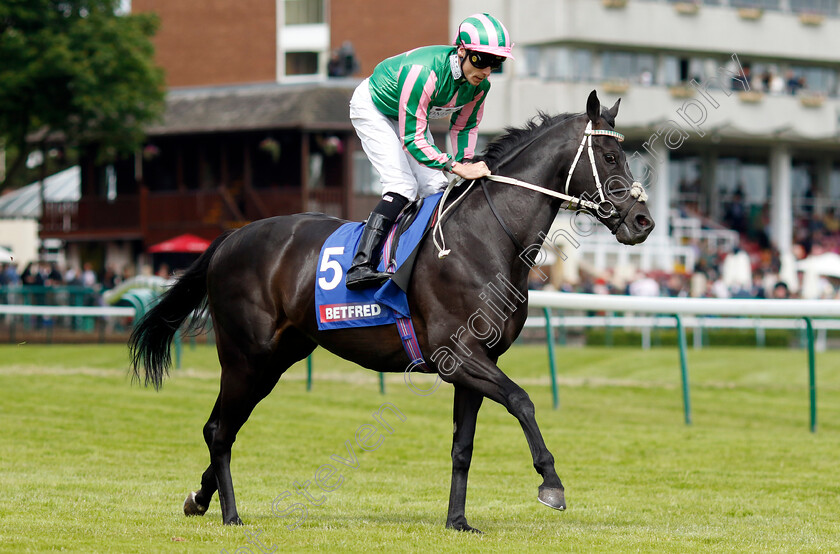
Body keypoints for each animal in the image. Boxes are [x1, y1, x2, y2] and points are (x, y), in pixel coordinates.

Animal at [130, 90, 656, 532]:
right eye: (611, 157)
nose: (642, 221)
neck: (486, 237)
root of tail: (230, 238)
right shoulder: (458, 355)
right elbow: (522, 400)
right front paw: (551, 483)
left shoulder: (476, 363)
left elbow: (463, 446)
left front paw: (458, 521)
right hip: (246, 356)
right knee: (220, 430)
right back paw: (231, 515)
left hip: (276, 359)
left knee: (220, 426)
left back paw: (200, 499)